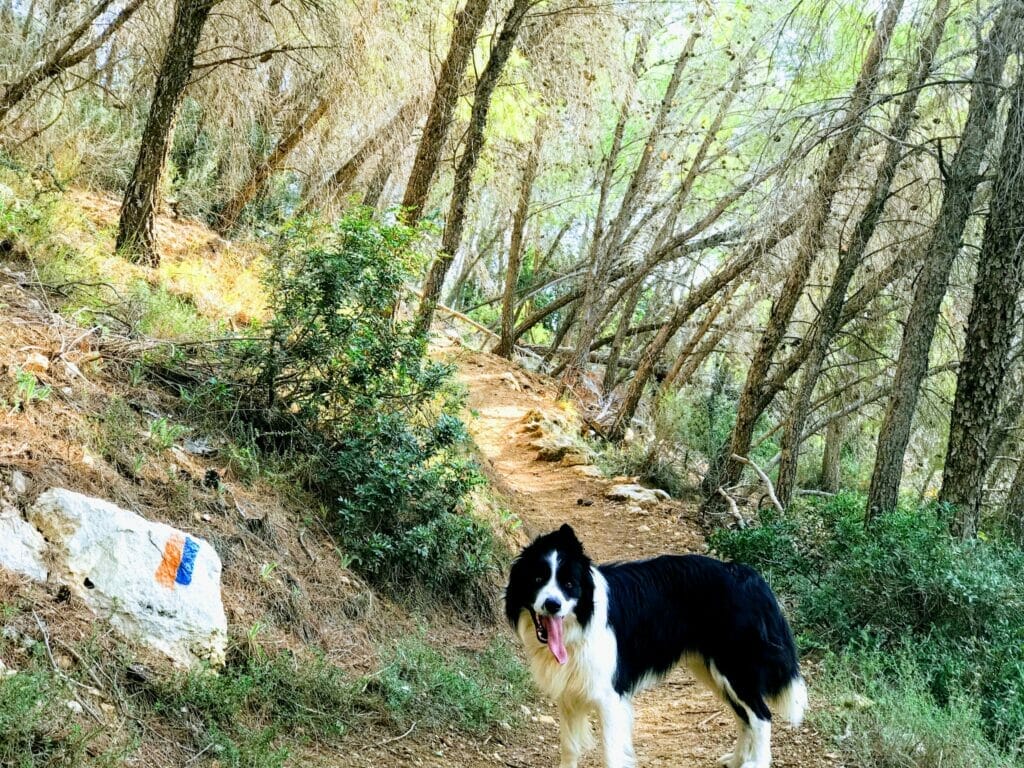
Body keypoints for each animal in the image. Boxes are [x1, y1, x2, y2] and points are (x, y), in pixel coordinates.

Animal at [505, 528, 806, 768]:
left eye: (569, 584)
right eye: (537, 580)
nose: (552, 604)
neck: (581, 622)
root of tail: (746, 574)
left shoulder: (609, 697)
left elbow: (611, 755)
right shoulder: (568, 694)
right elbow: (569, 749)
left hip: (735, 668)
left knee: (761, 716)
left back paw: (756, 761)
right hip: (713, 671)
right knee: (744, 716)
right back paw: (735, 761)